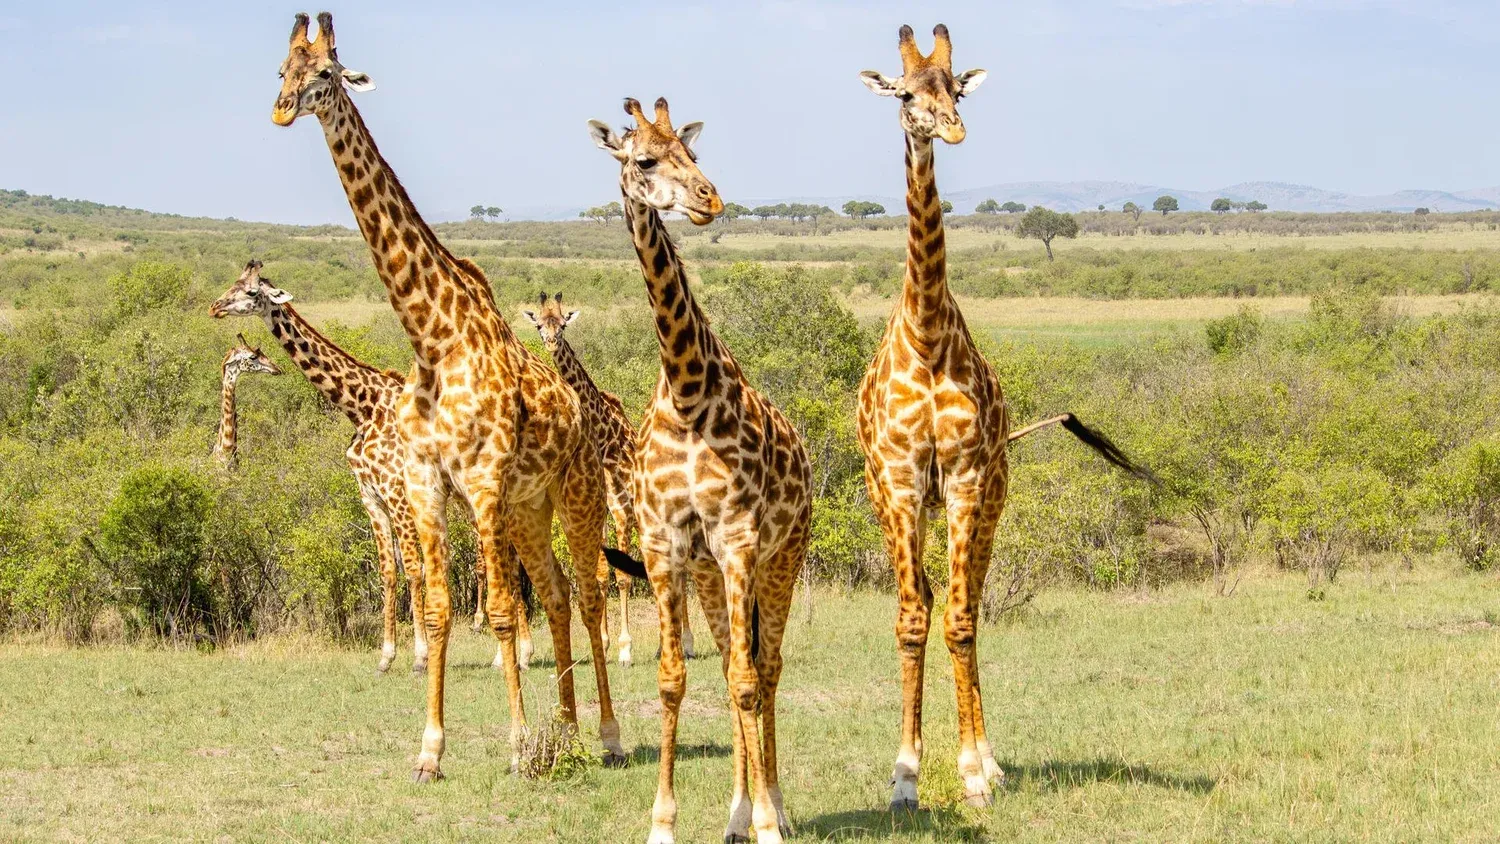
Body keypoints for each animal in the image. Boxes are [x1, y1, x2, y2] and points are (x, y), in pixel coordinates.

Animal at [273, 12, 623, 779]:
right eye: (282, 69)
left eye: (326, 73)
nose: (281, 110)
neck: (433, 340)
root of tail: (581, 408)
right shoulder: (427, 484)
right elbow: (437, 611)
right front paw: (430, 750)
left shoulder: (484, 482)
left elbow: (497, 609)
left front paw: (518, 745)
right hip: (528, 509)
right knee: (556, 590)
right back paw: (567, 727)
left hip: (578, 493)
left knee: (587, 591)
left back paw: (607, 734)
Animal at [521, 291, 697, 665]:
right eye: (540, 324)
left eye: (562, 323)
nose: (552, 342)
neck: (607, 443)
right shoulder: (601, 512)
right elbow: (601, 576)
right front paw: (602, 642)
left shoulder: (623, 512)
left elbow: (623, 578)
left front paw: (625, 648)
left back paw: (684, 642)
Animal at [589, 97, 810, 844]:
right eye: (644, 160)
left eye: (691, 153)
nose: (710, 199)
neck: (687, 393)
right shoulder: (664, 544)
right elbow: (674, 679)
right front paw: (665, 822)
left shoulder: (740, 540)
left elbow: (746, 680)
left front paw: (770, 823)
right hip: (713, 573)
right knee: (733, 662)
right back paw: (737, 812)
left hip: (780, 557)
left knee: (765, 667)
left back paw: (772, 806)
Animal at [857, 25, 1152, 810]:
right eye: (906, 94)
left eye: (956, 87)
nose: (952, 128)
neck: (928, 334)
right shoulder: (902, 483)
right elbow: (912, 618)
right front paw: (904, 776)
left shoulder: (964, 480)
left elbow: (960, 618)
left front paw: (972, 772)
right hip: (899, 501)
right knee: (931, 603)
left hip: (992, 498)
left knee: (972, 605)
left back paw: (989, 762)